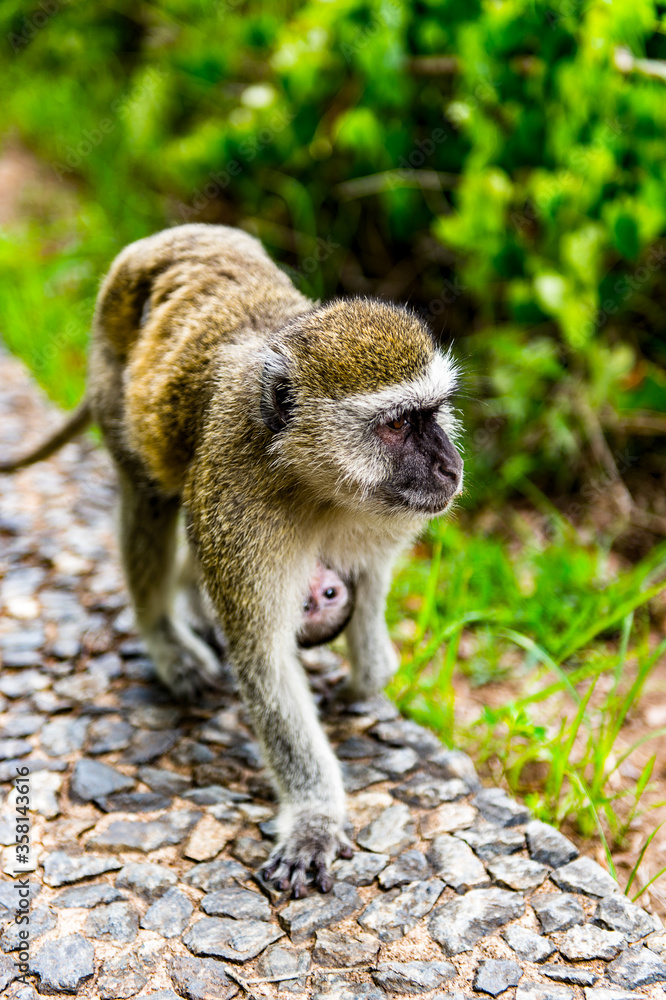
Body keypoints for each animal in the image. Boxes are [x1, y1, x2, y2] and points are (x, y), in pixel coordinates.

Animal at [0, 223, 463, 896]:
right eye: (400, 424)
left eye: (432, 414)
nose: (449, 465)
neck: (313, 482)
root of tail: (162, 240)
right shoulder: (235, 504)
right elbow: (266, 664)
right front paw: (315, 819)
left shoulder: (383, 519)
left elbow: (371, 591)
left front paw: (366, 679)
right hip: (112, 369)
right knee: (148, 494)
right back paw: (165, 636)